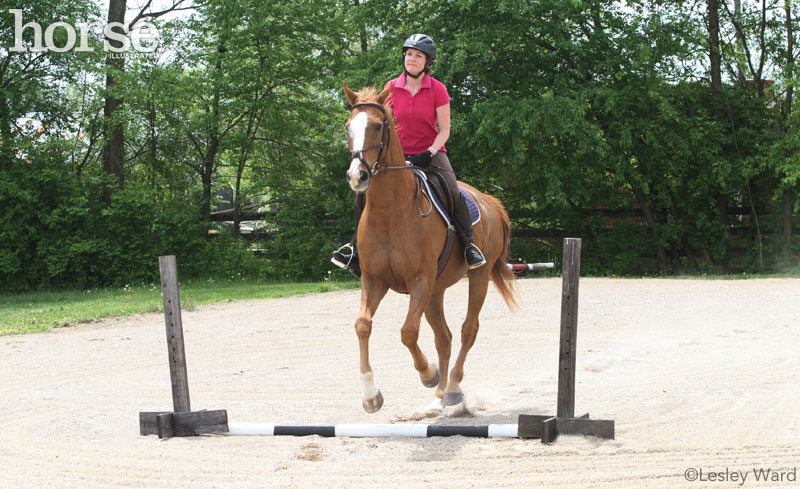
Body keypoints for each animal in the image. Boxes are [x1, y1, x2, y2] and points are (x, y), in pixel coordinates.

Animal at [340, 81, 516, 412]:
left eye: (378, 125)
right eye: (348, 127)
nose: (358, 176)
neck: (391, 210)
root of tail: (489, 200)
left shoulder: (419, 280)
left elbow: (408, 332)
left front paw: (427, 373)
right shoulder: (374, 280)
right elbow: (362, 325)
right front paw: (371, 394)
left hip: (478, 276)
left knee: (467, 330)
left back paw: (452, 387)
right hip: (436, 290)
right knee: (444, 337)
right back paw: (439, 396)